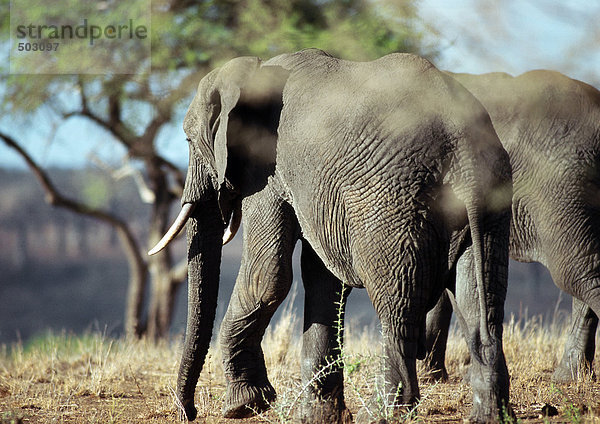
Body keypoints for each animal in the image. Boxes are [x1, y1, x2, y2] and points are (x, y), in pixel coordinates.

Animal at [149, 48, 510, 420]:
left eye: (189, 140)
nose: (188, 411)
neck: (256, 68)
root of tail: (463, 147)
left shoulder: (266, 169)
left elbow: (268, 277)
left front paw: (243, 407)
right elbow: (322, 277)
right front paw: (317, 417)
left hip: (391, 203)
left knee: (396, 303)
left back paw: (382, 413)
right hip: (490, 201)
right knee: (479, 303)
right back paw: (488, 415)